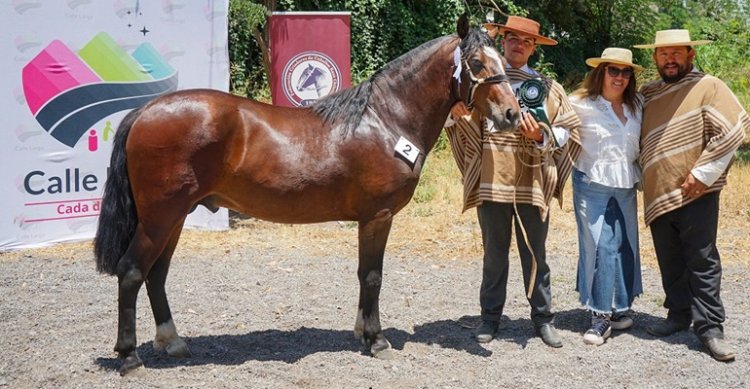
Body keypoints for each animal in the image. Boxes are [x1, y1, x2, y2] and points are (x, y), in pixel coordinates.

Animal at [94, 15, 520, 372]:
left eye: (501, 60)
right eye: (477, 63)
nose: (512, 115)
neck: (385, 121)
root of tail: (145, 111)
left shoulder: (369, 219)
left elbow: (364, 274)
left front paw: (361, 331)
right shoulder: (378, 216)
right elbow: (372, 275)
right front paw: (376, 339)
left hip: (175, 217)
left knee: (156, 274)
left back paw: (172, 341)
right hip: (160, 217)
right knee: (131, 272)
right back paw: (129, 357)